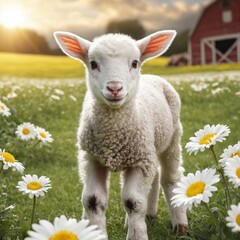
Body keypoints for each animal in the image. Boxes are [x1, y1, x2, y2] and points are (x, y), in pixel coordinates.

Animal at [54, 30, 188, 240]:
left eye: (134, 63)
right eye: (93, 63)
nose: (115, 88)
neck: (113, 136)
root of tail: (152, 76)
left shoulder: (141, 161)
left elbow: (133, 202)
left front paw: (137, 234)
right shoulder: (93, 159)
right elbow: (93, 200)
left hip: (171, 138)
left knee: (170, 178)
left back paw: (180, 223)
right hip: (145, 148)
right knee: (155, 175)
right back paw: (149, 214)